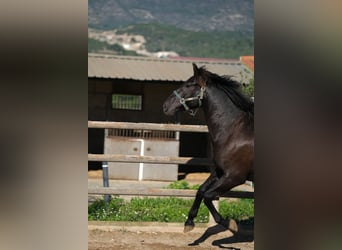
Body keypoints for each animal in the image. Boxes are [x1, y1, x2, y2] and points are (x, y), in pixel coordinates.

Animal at [163, 63, 254, 233]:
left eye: (188, 85)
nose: (165, 106)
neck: (235, 131)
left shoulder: (235, 177)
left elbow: (208, 196)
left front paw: (230, 224)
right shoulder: (220, 172)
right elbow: (201, 190)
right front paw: (189, 222)